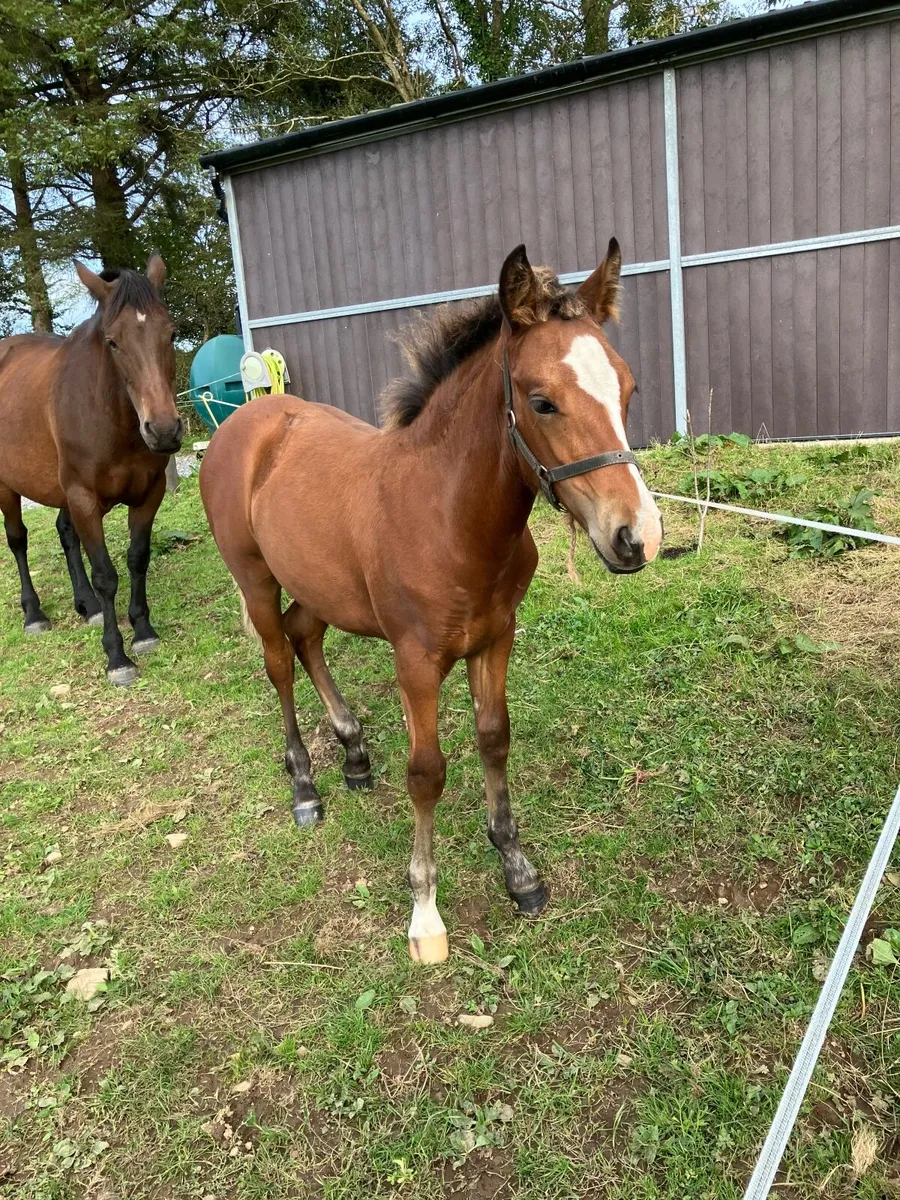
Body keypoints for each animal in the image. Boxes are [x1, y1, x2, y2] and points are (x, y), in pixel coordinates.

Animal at [0, 255, 183, 686]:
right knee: (17, 540)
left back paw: (87, 604)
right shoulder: (83, 497)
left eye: (171, 334)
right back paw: (34, 613)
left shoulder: (148, 494)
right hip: (7, 487)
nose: (164, 430)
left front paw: (142, 631)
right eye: (113, 342)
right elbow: (106, 576)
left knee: (65, 534)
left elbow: (137, 558)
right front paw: (117, 657)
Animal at [199, 240, 663, 963]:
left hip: (319, 582)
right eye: (542, 402)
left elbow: (495, 739)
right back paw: (305, 785)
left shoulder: (496, 636)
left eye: (629, 388)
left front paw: (518, 871)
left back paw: (355, 753)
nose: (637, 535)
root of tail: (242, 420)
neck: (450, 517)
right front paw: (424, 915)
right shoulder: (415, 660)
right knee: (277, 661)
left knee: (305, 636)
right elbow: (428, 772)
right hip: (255, 578)